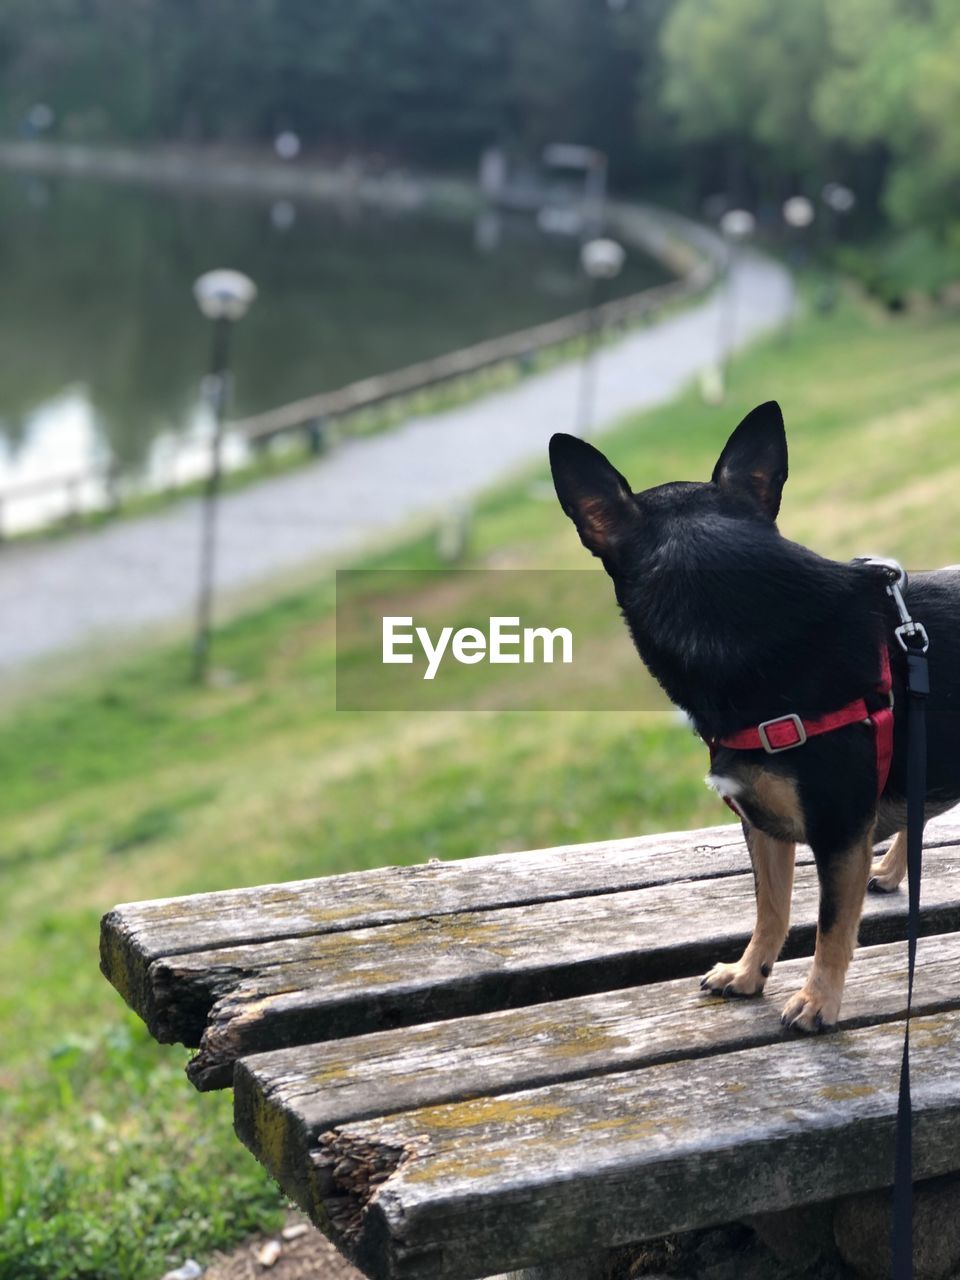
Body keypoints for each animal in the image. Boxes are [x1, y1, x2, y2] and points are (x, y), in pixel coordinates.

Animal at [547, 404, 960, 1034]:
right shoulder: (763, 822)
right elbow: (772, 906)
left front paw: (818, 999)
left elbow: (830, 924)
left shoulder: (838, 833)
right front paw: (748, 972)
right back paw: (891, 869)